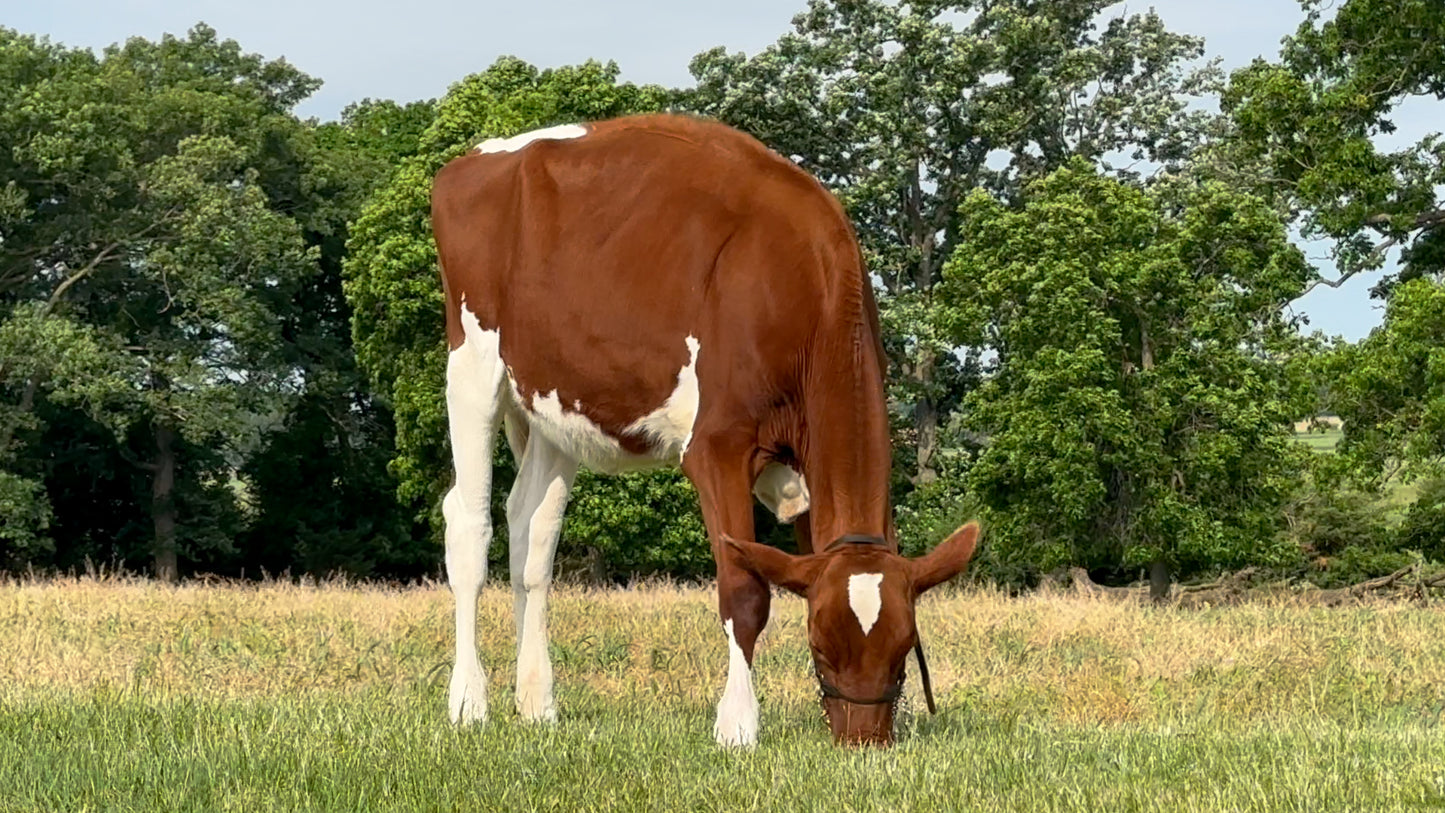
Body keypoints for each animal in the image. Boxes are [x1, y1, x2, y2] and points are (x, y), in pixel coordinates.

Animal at [430, 113, 979, 747]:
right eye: (820, 647)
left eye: (904, 649)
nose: (861, 739)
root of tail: (474, 159)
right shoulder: (718, 447)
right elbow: (745, 592)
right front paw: (736, 725)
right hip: (473, 363)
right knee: (469, 526)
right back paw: (469, 702)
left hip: (552, 401)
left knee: (531, 534)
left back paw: (537, 702)